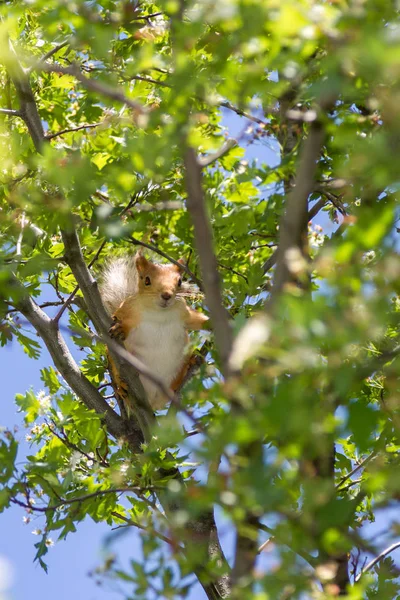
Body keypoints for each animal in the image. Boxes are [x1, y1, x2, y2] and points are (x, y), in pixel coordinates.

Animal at [100, 251, 209, 410]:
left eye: (179, 282)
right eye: (147, 280)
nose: (166, 295)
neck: (159, 313)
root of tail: (152, 402)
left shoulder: (185, 313)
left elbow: (198, 320)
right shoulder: (127, 310)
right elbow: (122, 321)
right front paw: (121, 328)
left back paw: (191, 361)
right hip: (114, 362)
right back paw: (122, 388)